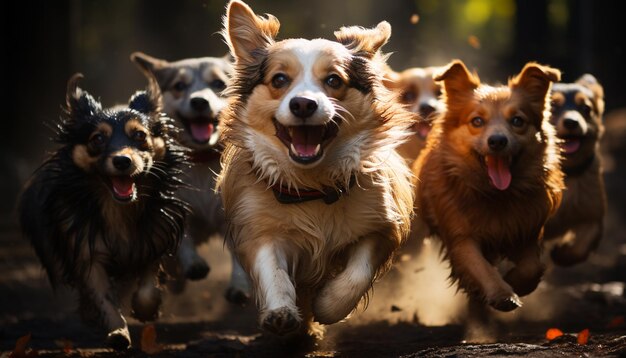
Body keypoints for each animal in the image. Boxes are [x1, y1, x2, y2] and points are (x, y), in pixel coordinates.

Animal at [18, 74, 188, 352]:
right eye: (97, 139)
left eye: (140, 135)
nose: (122, 161)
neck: (118, 210)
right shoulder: (87, 253)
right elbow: (102, 298)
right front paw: (117, 331)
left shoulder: (153, 239)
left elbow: (147, 288)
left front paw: (145, 310)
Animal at [132, 51, 251, 304]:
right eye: (179, 86)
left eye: (218, 83)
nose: (199, 101)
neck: (202, 159)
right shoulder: (173, 211)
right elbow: (182, 239)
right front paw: (193, 264)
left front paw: (239, 286)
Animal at [217, 0, 416, 336]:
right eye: (279, 80)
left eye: (334, 80)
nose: (303, 104)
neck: (311, 188)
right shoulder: (258, 229)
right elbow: (274, 272)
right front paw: (281, 313)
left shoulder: (381, 225)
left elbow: (357, 273)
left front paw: (328, 304)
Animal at [414, 60, 560, 312]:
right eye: (477, 121)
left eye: (518, 121)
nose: (498, 141)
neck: (496, 195)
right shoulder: (461, 238)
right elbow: (480, 267)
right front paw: (502, 293)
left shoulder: (529, 230)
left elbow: (531, 267)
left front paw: (514, 282)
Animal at [540, 74, 604, 266]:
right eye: (553, 105)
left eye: (586, 108)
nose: (571, 122)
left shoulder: (593, 215)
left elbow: (582, 245)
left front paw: (561, 254)